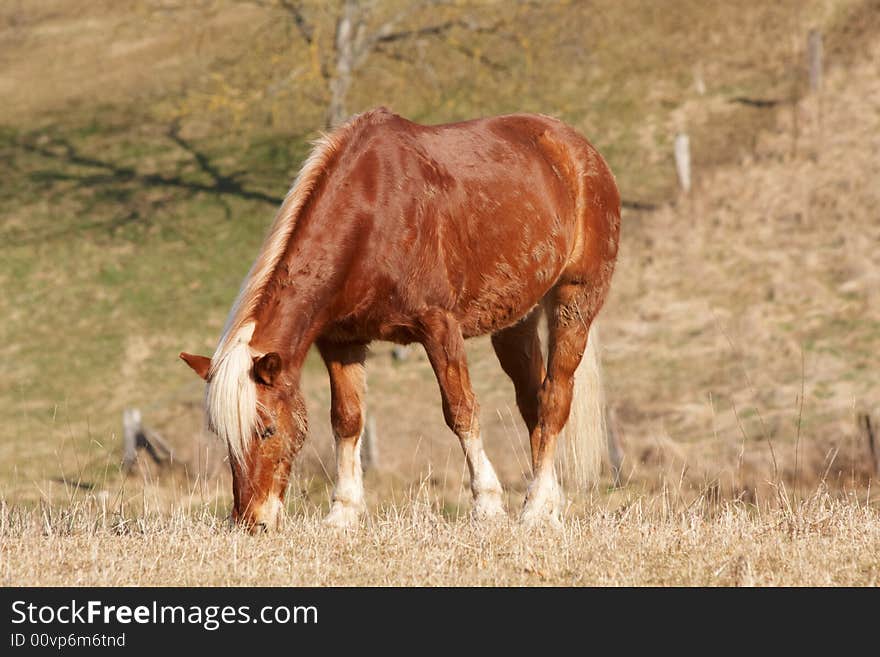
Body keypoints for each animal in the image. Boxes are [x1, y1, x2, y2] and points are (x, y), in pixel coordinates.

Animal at [177, 106, 620, 528]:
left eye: (266, 430)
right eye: (223, 437)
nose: (250, 521)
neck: (371, 215)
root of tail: (579, 150)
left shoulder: (439, 327)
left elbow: (461, 411)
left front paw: (487, 504)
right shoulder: (340, 341)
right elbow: (347, 420)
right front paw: (343, 513)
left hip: (575, 302)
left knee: (555, 400)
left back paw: (535, 506)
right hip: (516, 322)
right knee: (533, 405)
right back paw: (549, 508)